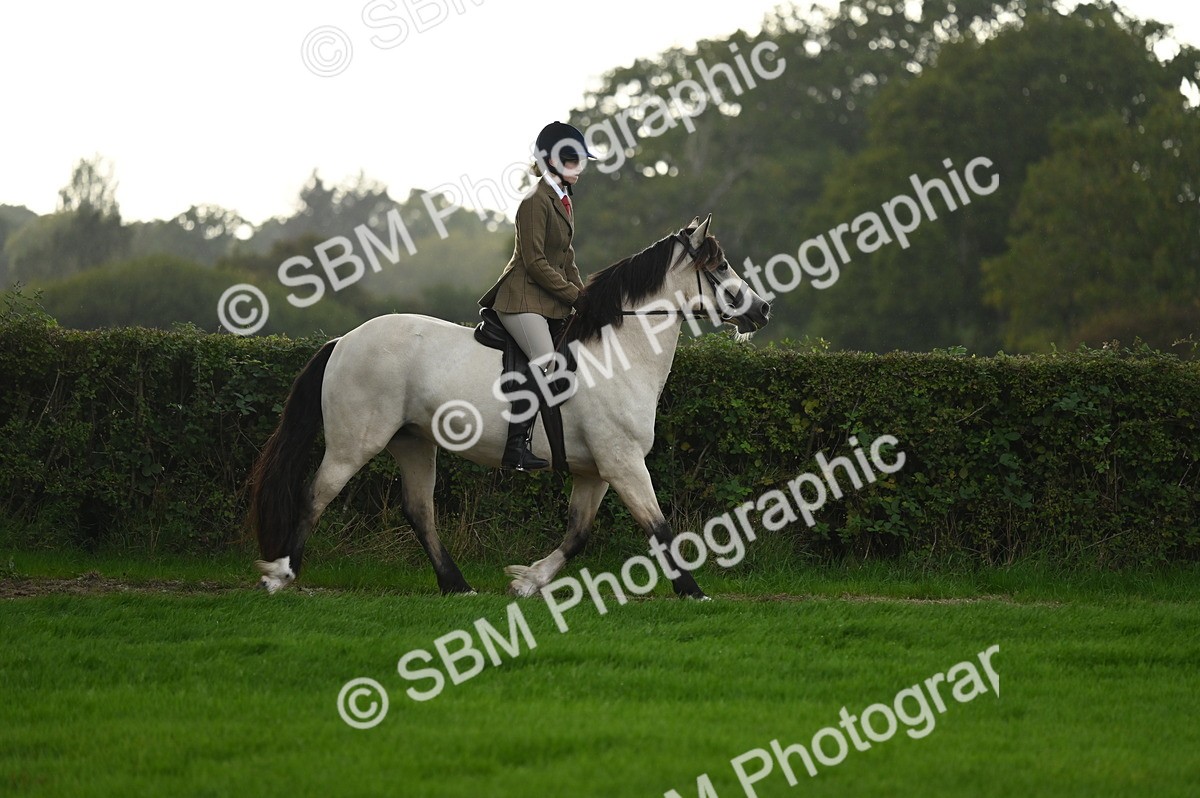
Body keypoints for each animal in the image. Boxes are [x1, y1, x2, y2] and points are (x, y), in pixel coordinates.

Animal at [248, 214, 771, 598]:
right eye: (721, 266)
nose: (762, 309)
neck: (619, 353)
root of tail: (343, 341)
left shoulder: (596, 470)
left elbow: (578, 534)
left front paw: (528, 581)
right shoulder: (623, 463)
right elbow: (659, 528)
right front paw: (693, 592)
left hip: (412, 442)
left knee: (419, 511)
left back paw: (456, 585)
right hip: (356, 442)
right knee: (316, 494)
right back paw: (281, 574)